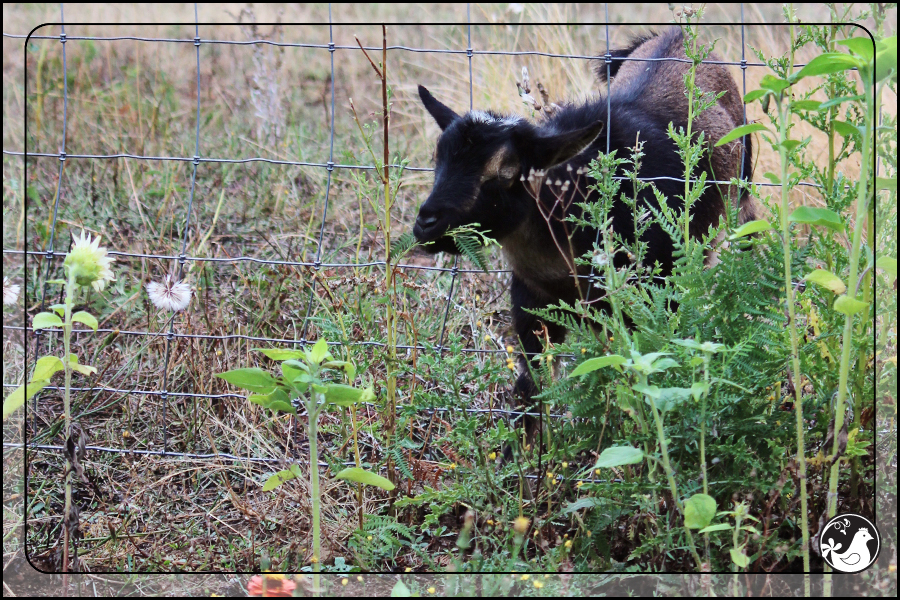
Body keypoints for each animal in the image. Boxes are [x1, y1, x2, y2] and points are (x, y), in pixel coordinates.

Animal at [414, 28, 760, 448]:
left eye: (506, 172)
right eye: (438, 159)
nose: (425, 224)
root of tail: (674, 34)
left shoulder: (656, 292)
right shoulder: (531, 300)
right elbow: (531, 386)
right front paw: (524, 458)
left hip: (742, 195)